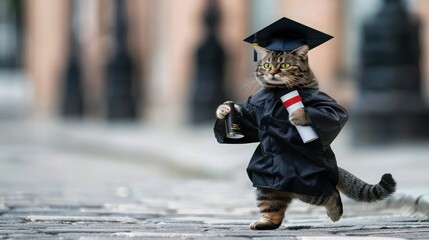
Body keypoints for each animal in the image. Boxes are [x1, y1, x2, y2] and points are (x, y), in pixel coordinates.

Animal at [214, 45, 394, 231]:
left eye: (285, 65)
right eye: (267, 65)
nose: (272, 72)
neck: (278, 91)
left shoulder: (328, 105)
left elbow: (330, 113)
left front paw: (298, 114)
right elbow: (247, 125)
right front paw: (224, 110)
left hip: (309, 189)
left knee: (331, 192)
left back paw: (335, 212)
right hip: (265, 188)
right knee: (274, 209)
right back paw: (265, 222)